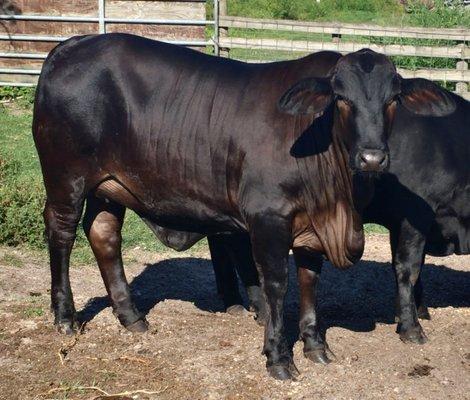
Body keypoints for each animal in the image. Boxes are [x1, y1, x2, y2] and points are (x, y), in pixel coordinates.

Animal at [32, 32, 452, 380]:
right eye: (341, 99)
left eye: (393, 99)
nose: (372, 158)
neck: (338, 201)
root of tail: (72, 44)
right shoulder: (269, 216)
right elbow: (276, 284)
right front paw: (278, 357)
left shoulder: (311, 226)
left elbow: (310, 280)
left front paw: (316, 345)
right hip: (65, 177)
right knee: (62, 233)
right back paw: (66, 318)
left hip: (108, 186)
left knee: (104, 235)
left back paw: (131, 316)